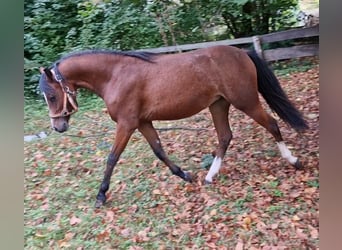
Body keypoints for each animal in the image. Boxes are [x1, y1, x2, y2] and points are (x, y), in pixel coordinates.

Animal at [38, 45, 308, 209]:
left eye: (51, 95)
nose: (58, 126)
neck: (115, 75)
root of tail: (241, 52)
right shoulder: (142, 122)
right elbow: (159, 150)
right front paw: (185, 175)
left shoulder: (127, 124)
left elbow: (112, 158)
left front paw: (101, 195)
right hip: (219, 105)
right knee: (225, 136)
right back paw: (209, 176)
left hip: (246, 101)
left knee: (272, 124)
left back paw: (294, 161)